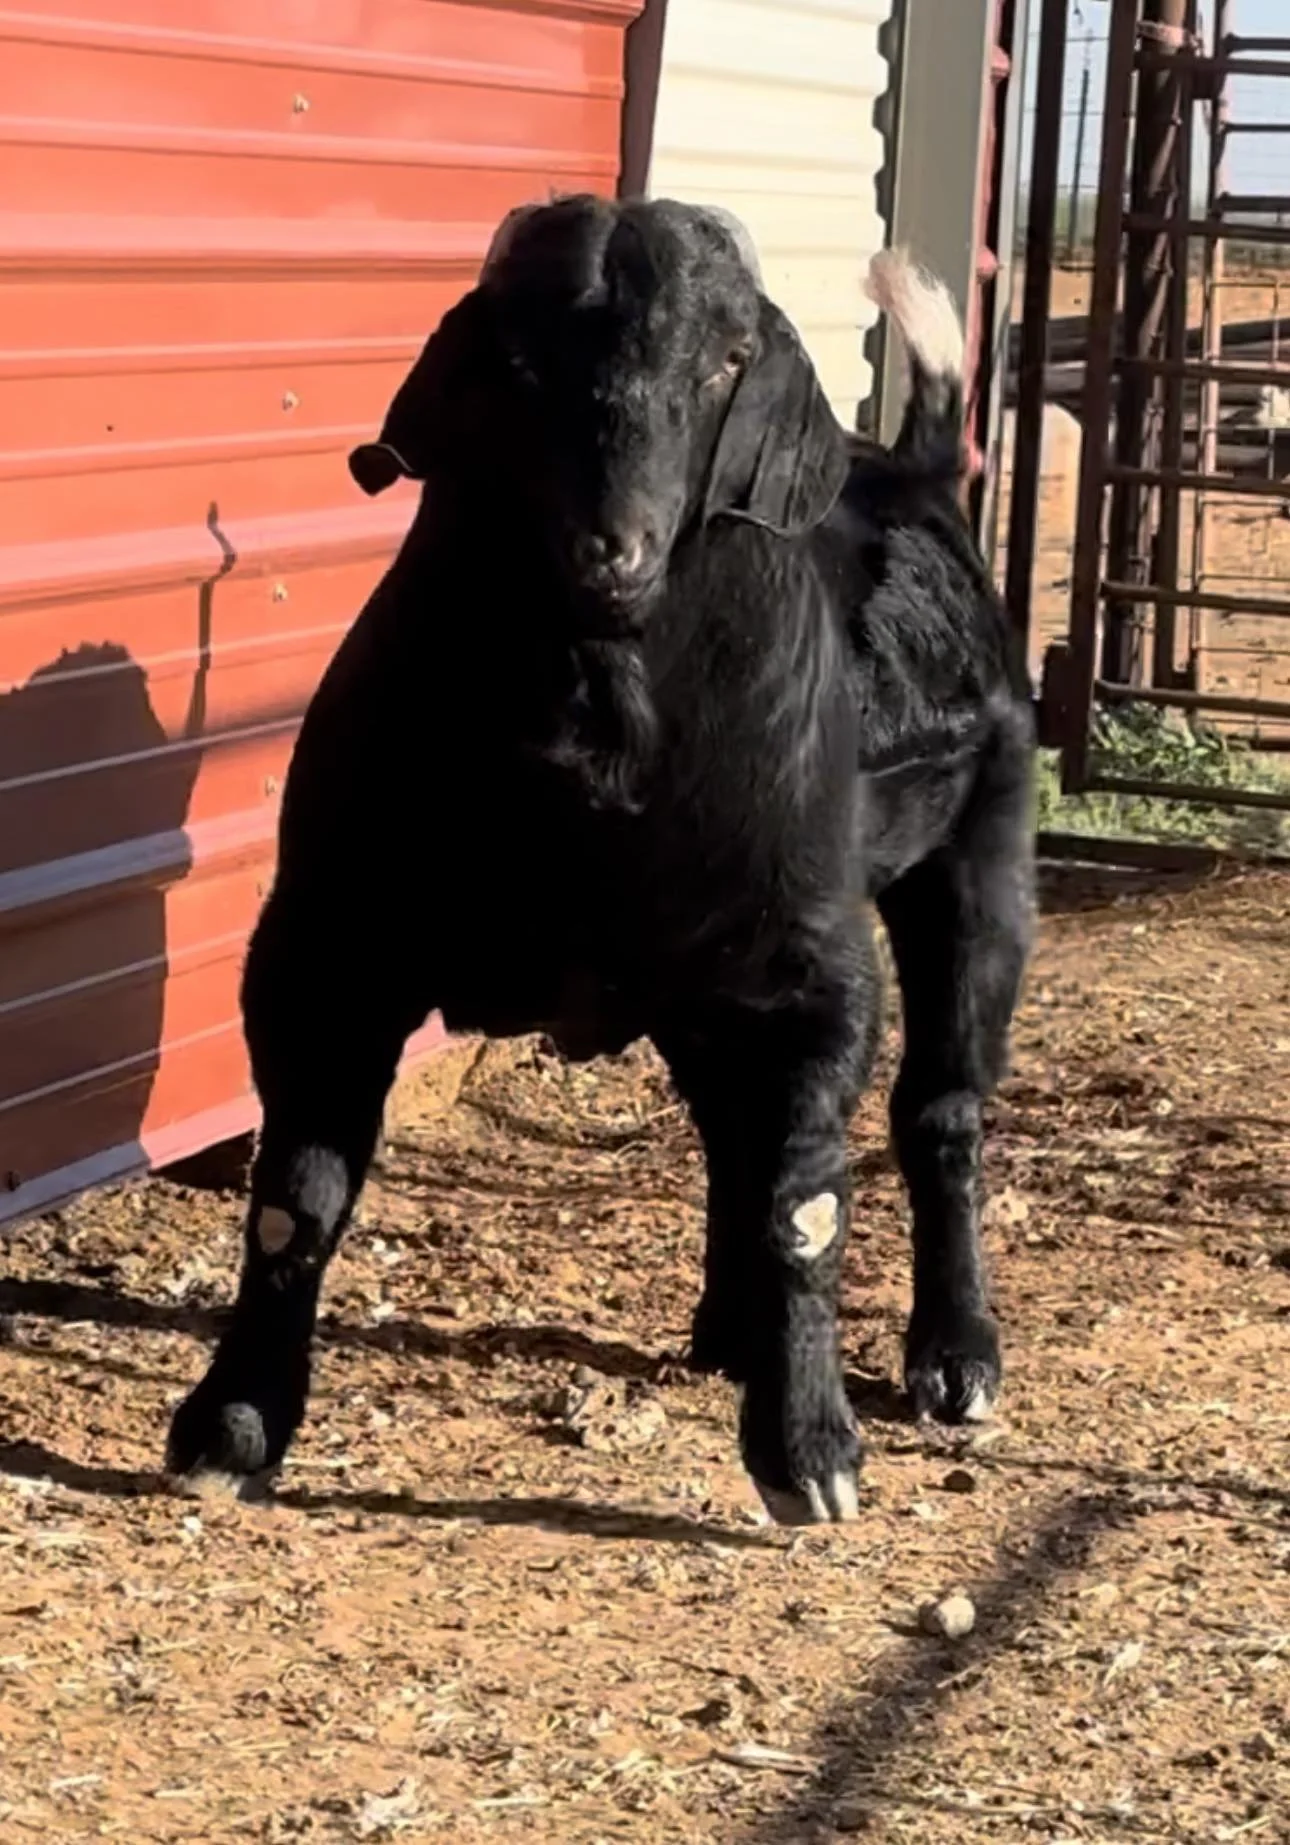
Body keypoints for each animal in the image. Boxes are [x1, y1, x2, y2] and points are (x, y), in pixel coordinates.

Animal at [166, 197, 1035, 1526]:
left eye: (728, 362)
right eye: (518, 364)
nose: (608, 551)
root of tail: (917, 472)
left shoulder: (811, 963)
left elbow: (805, 1205)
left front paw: (811, 1451)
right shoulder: (329, 946)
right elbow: (292, 1200)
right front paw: (233, 1423)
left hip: (976, 862)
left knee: (938, 1109)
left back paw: (954, 1358)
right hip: (694, 990)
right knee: (733, 1127)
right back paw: (729, 1334)